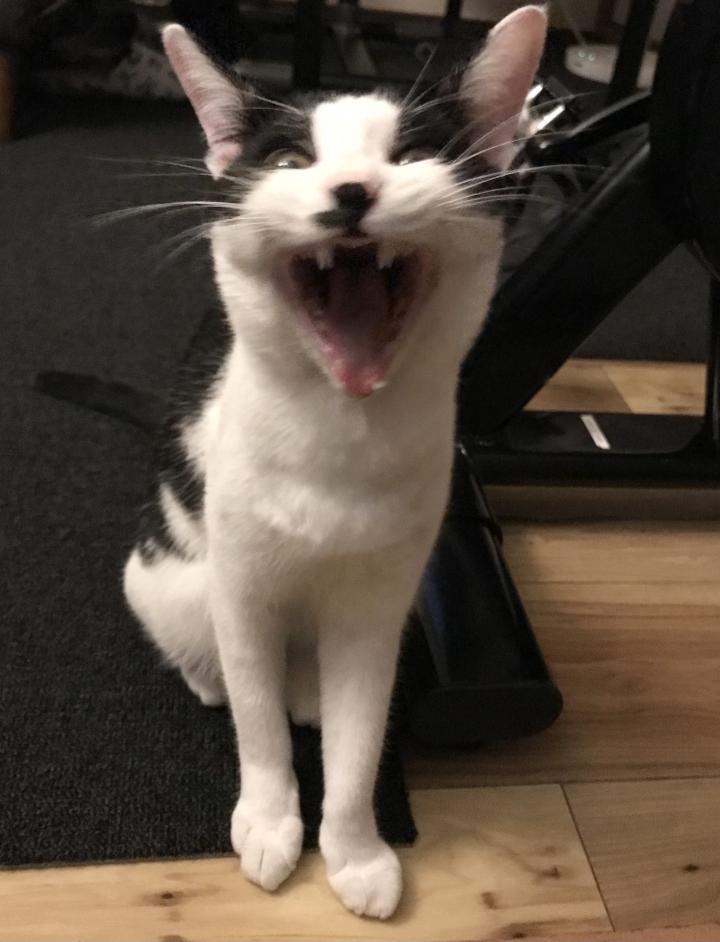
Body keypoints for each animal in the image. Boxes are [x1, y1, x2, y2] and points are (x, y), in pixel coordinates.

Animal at [123, 6, 546, 920]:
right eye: (290, 161)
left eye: (414, 154)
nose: (353, 191)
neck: (339, 433)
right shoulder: (242, 589)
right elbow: (257, 726)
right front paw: (270, 820)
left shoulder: (377, 608)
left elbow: (359, 741)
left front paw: (354, 850)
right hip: (166, 577)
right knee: (205, 648)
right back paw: (213, 676)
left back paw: (309, 692)